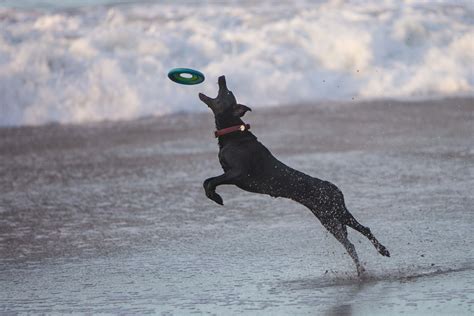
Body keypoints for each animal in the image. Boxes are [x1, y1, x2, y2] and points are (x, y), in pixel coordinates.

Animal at [199, 76, 388, 274]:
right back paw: (361, 269)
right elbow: (207, 181)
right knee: (349, 244)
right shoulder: (229, 173)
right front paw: (214, 196)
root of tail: (335, 188)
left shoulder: (237, 173)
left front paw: (216, 197)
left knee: (364, 229)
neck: (233, 132)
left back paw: (382, 250)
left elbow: (211, 182)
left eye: (227, 92)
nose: (222, 77)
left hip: (337, 211)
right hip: (327, 218)